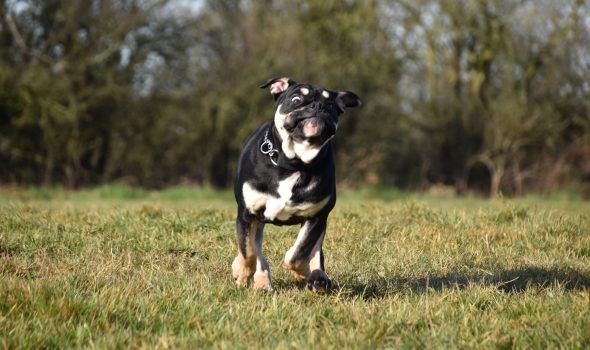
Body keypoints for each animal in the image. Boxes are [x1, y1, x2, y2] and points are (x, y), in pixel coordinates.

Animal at [231, 76, 360, 292]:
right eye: (297, 99)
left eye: (331, 106)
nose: (318, 106)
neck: (294, 162)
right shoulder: (247, 213)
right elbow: (248, 251)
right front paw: (242, 272)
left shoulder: (316, 216)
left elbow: (298, 253)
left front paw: (305, 272)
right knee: (256, 250)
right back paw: (261, 281)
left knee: (314, 250)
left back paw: (317, 277)